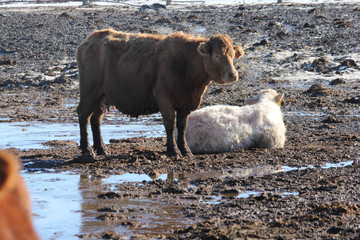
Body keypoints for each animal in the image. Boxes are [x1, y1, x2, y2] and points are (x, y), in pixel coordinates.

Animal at [76, 28, 245, 159]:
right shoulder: (165, 100)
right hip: (89, 93)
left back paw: (101, 149)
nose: (233, 75)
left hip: (101, 97)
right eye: (217, 56)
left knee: (95, 119)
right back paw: (87, 151)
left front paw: (185, 150)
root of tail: (90, 40)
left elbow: (182, 126)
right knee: (83, 115)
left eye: (232, 55)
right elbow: (170, 125)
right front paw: (174, 151)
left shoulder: (185, 105)